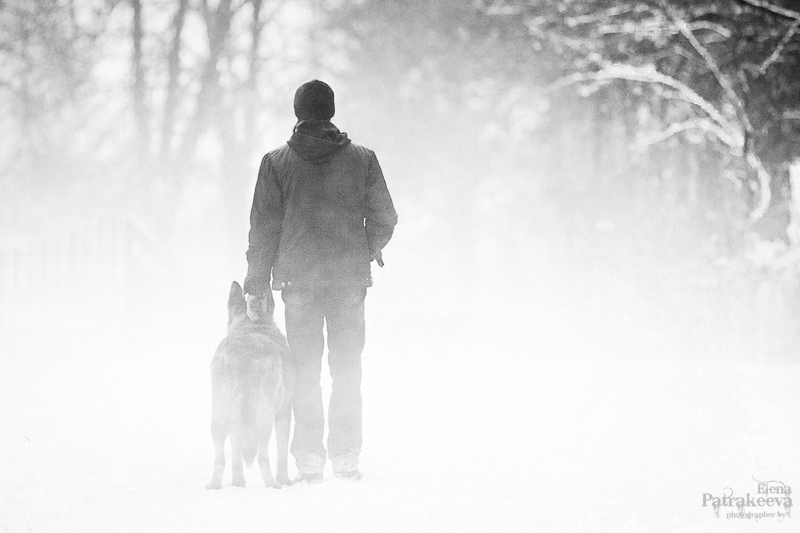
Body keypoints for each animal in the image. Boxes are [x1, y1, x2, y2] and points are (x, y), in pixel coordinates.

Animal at [206, 280, 294, 488]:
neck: (253, 326)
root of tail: (243, 357)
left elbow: (236, 454)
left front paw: (238, 481)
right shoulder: (284, 412)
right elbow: (282, 456)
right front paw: (285, 480)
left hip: (220, 416)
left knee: (221, 458)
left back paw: (218, 485)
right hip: (264, 419)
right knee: (262, 457)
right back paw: (273, 485)